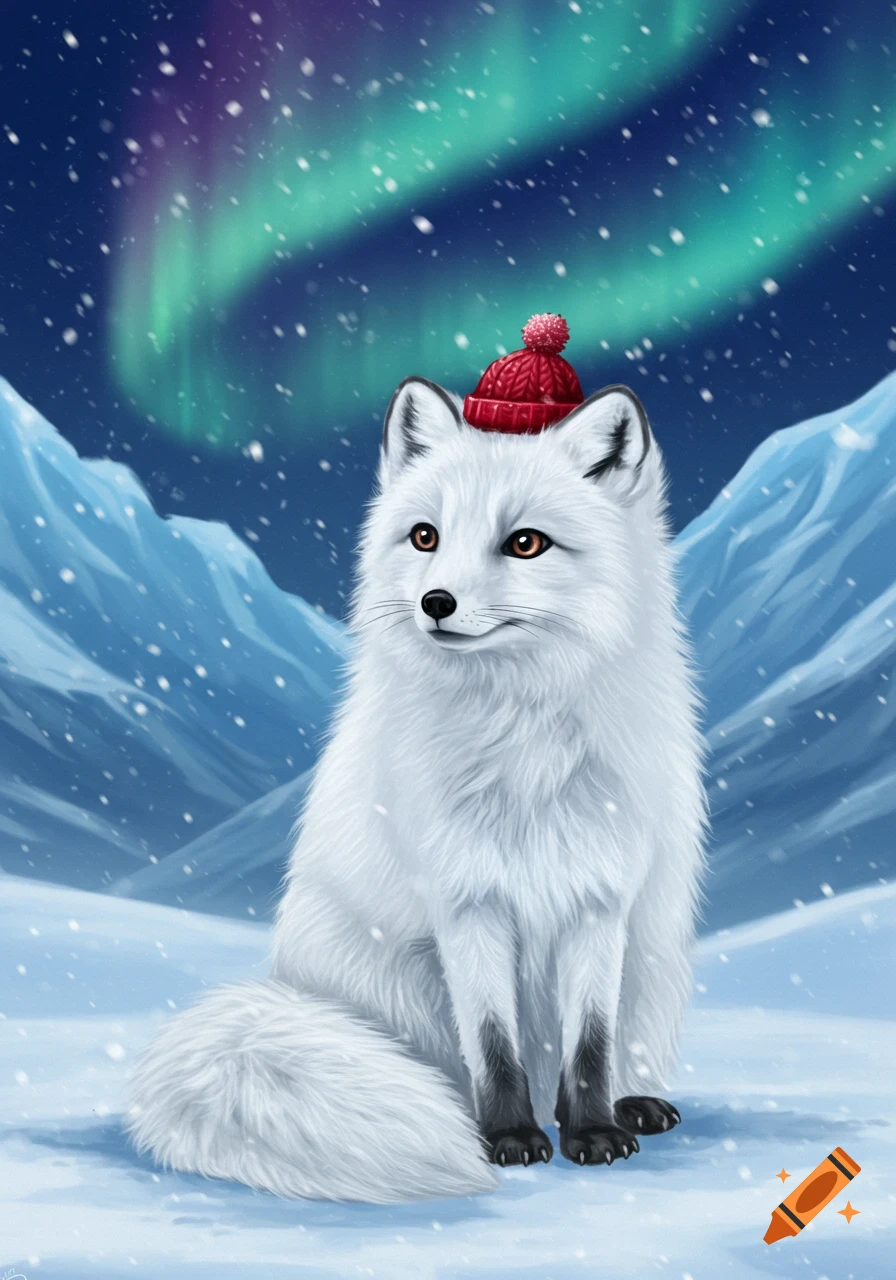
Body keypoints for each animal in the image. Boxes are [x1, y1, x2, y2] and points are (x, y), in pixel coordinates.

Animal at [126, 376, 707, 1203]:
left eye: (525, 543)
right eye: (425, 536)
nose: (436, 602)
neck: (519, 743)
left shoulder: (597, 898)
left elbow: (589, 1045)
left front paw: (593, 1132)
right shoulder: (467, 897)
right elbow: (494, 1043)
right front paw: (511, 1139)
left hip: (653, 958)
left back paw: (632, 1104)